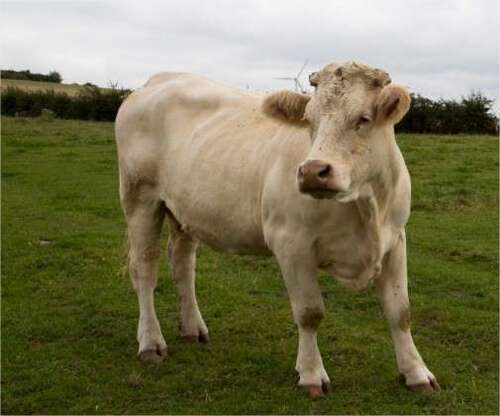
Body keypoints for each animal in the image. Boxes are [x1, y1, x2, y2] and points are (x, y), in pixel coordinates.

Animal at [115, 61, 440, 396]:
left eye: (363, 118)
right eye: (309, 120)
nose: (312, 171)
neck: (365, 206)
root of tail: (159, 80)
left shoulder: (395, 240)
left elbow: (400, 311)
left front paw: (417, 372)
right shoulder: (291, 244)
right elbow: (310, 313)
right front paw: (311, 374)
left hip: (184, 211)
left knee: (182, 265)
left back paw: (193, 328)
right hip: (140, 199)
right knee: (144, 270)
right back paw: (151, 342)